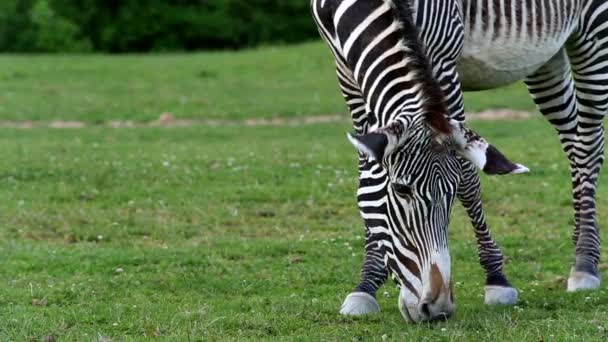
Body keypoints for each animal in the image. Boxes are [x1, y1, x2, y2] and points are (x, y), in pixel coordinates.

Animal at [314, 0, 608, 322]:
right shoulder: (347, 72)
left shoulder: (443, 64)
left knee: (589, 143)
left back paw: (585, 264)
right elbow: (369, 178)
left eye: (452, 193)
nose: (437, 310)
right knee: (576, 141)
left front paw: (497, 279)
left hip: (594, 33)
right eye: (401, 190)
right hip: (548, 56)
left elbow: (469, 176)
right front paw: (366, 284)